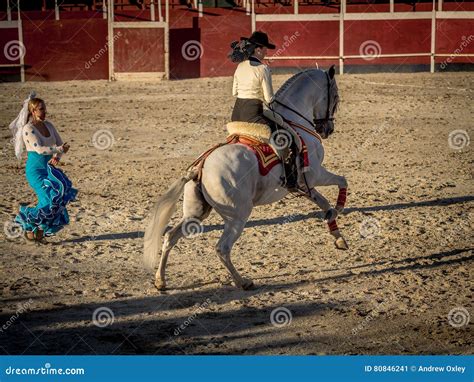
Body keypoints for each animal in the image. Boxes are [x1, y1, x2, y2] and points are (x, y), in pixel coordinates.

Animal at [143, 65, 348, 290]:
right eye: (335, 97)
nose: (327, 129)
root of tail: (200, 166)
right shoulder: (316, 174)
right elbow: (342, 182)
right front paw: (338, 210)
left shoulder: (304, 184)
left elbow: (323, 202)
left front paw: (338, 237)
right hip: (237, 216)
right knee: (222, 248)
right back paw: (243, 281)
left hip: (196, 214)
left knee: (170, 236)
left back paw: (161, 280)